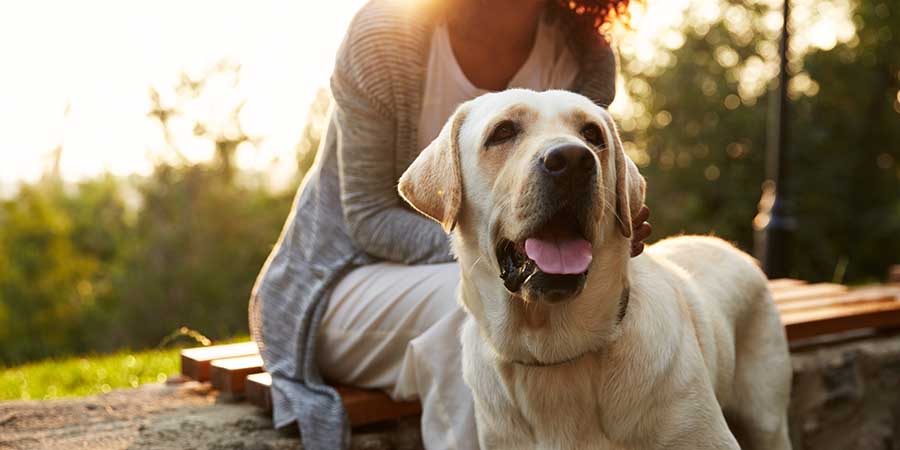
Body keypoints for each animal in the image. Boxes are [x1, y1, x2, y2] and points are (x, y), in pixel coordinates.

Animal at [400, 89, 788, 450]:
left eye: (592, 134)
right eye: (503, 131)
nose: (572, 160)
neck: (554, 353)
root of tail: (729, 247)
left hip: (767, 417)